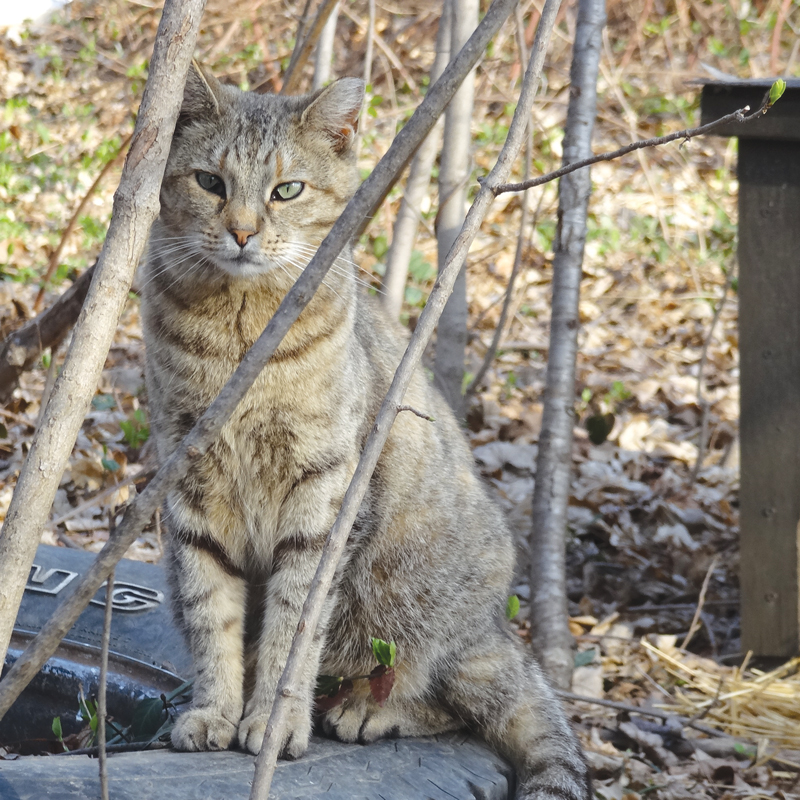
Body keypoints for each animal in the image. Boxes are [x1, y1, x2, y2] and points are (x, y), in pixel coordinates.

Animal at [141, 64, 592, 800]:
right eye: (210, 182)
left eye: (286, 190)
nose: (241, 232)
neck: (238, 326)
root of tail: (497, 629)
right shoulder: (189, 481)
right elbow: (213, 613)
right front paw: (217, 709)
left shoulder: (322, 491)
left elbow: (294, 626)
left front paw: (273, 721)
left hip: (410, 593)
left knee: (450, 694)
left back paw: (366, 710)